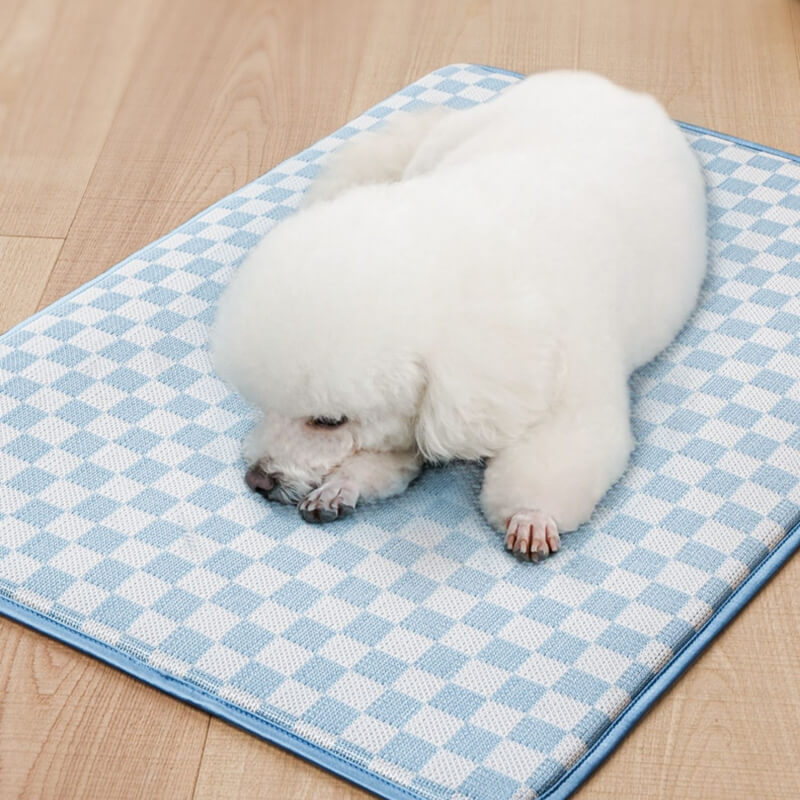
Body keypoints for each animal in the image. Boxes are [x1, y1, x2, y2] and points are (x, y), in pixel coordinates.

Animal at [212, 73, 708, 564]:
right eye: (266, 406)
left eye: (328, 420)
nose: (258, 480)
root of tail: (604, 83)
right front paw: (344, 484)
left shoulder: (565, 384)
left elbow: (561, 450)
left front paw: (531, 516)